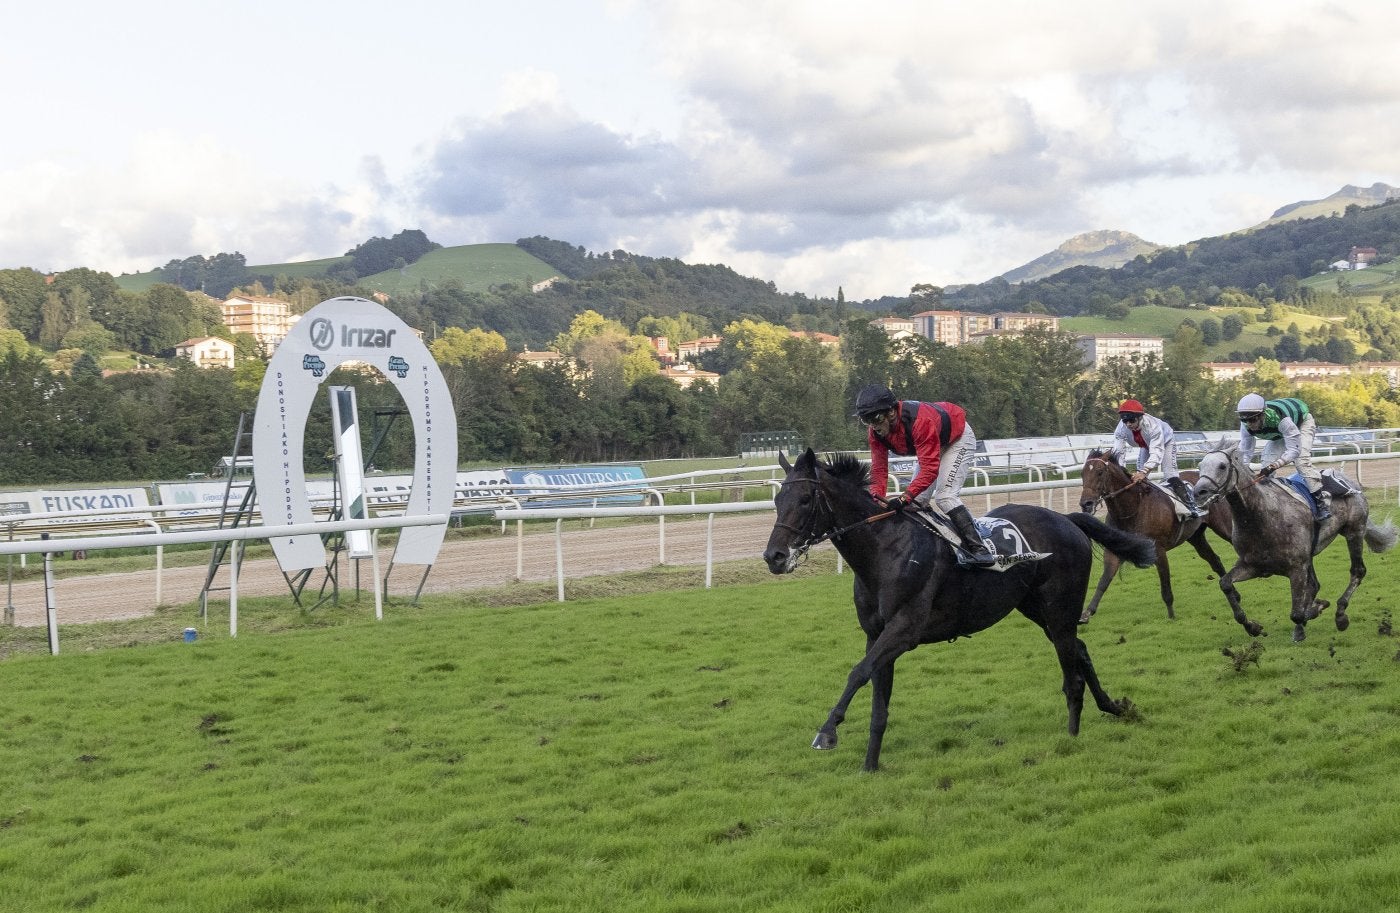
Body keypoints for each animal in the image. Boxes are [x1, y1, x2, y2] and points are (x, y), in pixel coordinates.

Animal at [761, 448, 1153, 772]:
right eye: (778, 499)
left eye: (806, 498)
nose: (773, 556)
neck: (884, 549)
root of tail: (1067, 519)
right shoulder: (877, 634)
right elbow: (877, 699)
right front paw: (870, 766)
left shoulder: (904, 629)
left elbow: (857, 673)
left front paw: (827, 732)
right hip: (1037, 608)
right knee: (1079, 650)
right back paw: (1114, 707)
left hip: (1059, 609)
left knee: (1071, 668)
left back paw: (1072, 735)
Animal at [1075, 453, 1232, 624]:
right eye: (1082, 474)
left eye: (1100, 472)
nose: (1086, 503)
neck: (1132, 509)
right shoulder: (1114, 550)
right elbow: (1104, 580)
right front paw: (1087, 613)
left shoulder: (1158, 550)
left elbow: (1165, 585)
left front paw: (1171, 616)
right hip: (1196, 537)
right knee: (1215, 561)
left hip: (1224, 526)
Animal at [1187, 439, 1394, 641]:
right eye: (1200, 466)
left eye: (1222, 466)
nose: (1199, 493)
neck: (1261, 518)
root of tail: (1350, 482)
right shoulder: (1253, 566)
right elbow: (1225, 584)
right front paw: (1252, 627)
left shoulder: (1296, 568)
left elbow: (1297, 613)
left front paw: (1315, 611)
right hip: (1311, 554)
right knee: (1315, 584)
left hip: (1354, 531)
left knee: (1357, 571)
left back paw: (1340, 615)